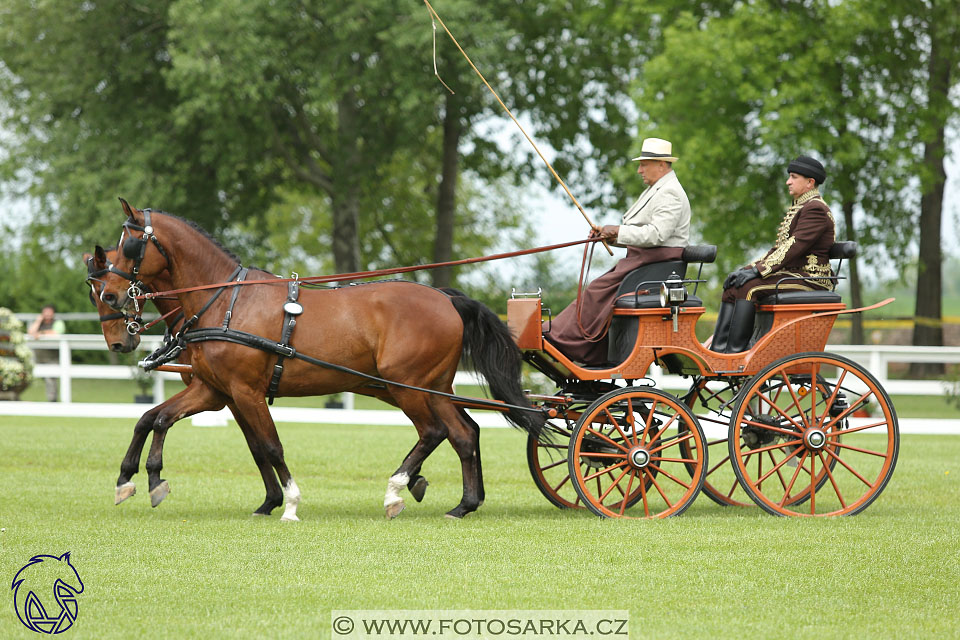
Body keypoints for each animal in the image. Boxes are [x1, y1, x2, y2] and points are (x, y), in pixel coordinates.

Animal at [98, 200, 548, 520]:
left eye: (130, 245)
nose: (111, 296)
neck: (226, 302)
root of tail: (445, 297)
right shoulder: (213, 390)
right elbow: (153, 418)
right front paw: (134, 479)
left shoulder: (245, 391)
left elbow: (270, 445)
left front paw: (290, 503)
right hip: (432, 386)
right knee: (463, 433)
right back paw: (464, 504)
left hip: (408, 386)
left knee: (434, 432)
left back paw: (396, 491)